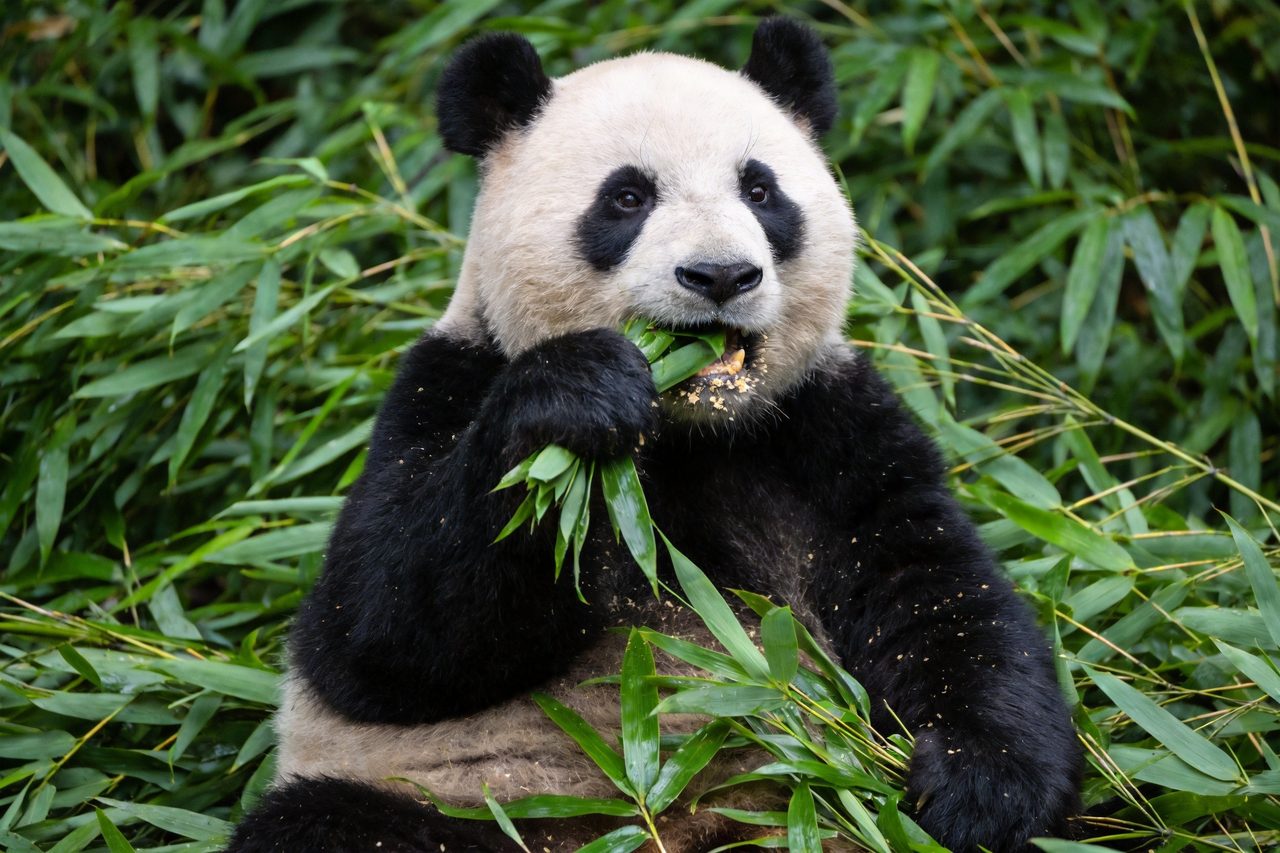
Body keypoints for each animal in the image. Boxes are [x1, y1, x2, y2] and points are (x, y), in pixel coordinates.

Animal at [227, 17, 1080, 853]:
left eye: (760, 189)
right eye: (627, 196)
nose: (721, 276)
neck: (688, 428)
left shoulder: (828, 428)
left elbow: (936, 593)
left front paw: (978, 789)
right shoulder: (445, 384)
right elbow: (377, 632)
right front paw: (578, 395)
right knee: (325, 823)